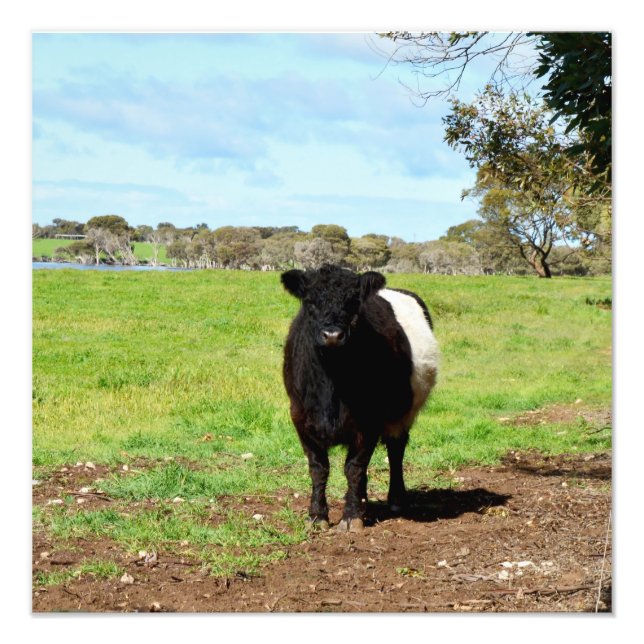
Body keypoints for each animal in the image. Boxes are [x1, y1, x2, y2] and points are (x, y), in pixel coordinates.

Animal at [281, 264, 439, 532]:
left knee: (396, 451)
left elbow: (353, 467)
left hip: (404, 412)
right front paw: (317, 516)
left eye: (353, 303)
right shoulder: (300, 417)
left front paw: (352, 517)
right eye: (310, 301)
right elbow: (318, 468)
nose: (332, 335)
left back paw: (396, 500)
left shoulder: (369, 421)